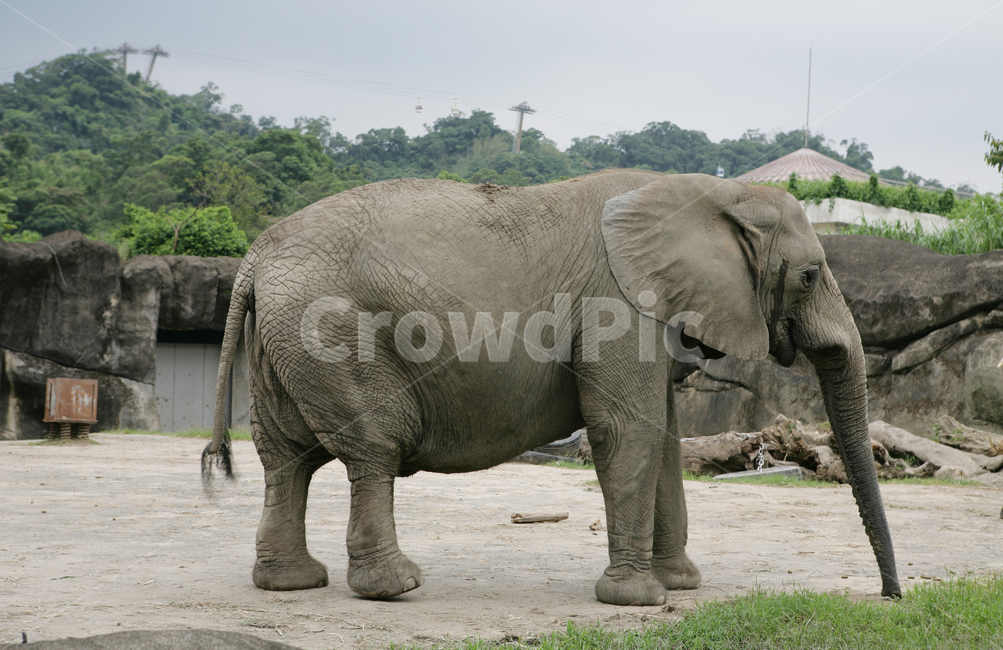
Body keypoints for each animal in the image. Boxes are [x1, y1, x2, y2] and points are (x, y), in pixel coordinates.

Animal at [202, 170, 901, 605]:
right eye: (809, 275)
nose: (891, 596)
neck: (711, 194)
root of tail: (253, 260)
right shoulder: (616, 305)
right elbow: (627, 430)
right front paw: (638, 600)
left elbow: (665, 438)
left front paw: (680, 586)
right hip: (331, 333)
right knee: (372, 449)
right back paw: (396, 587)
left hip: (283, 340)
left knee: (286, 458)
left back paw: (292, 583)